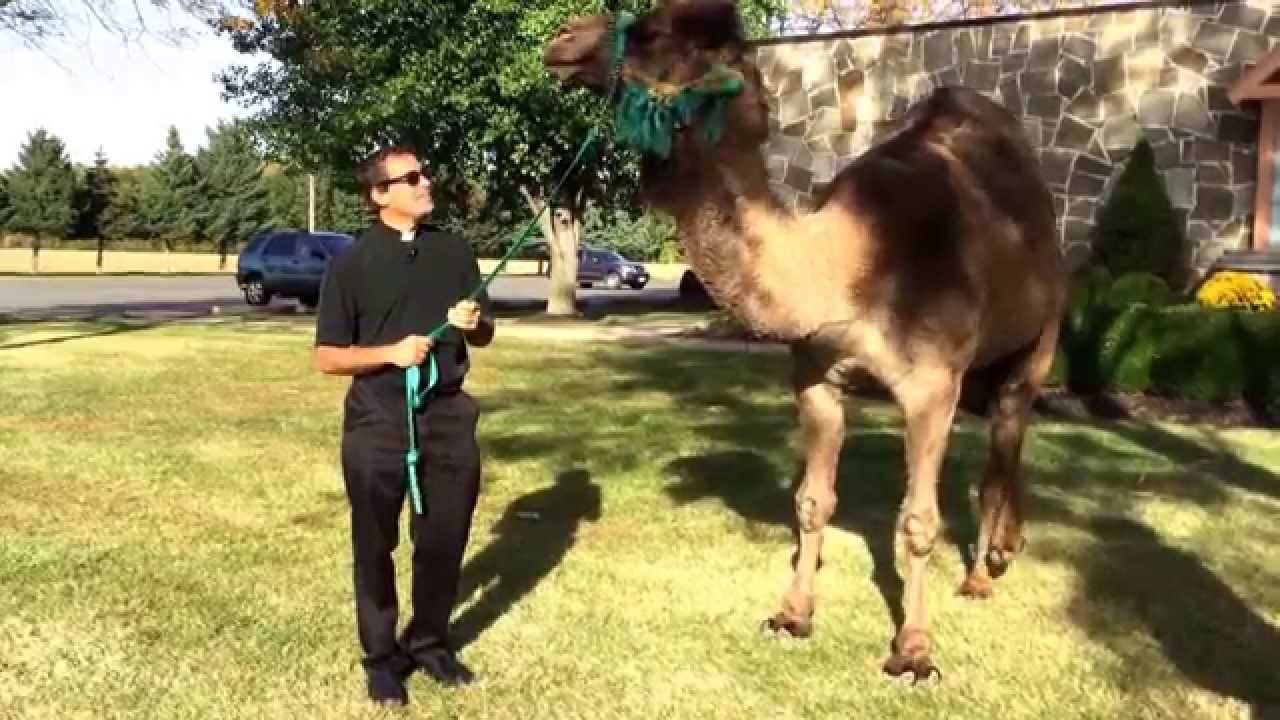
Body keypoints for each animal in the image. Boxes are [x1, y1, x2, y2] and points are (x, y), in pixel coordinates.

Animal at [543, 0, 1067, 681]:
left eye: (656, 33)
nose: (562, 39)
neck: (848, 268)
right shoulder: (817, 377)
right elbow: (812, 502)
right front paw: (792, 616)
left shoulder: (931, 386)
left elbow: (918, 521)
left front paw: (914, 651)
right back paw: (1006, 548)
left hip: (1038, 339)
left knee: (1006, 433)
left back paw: (983, 573)